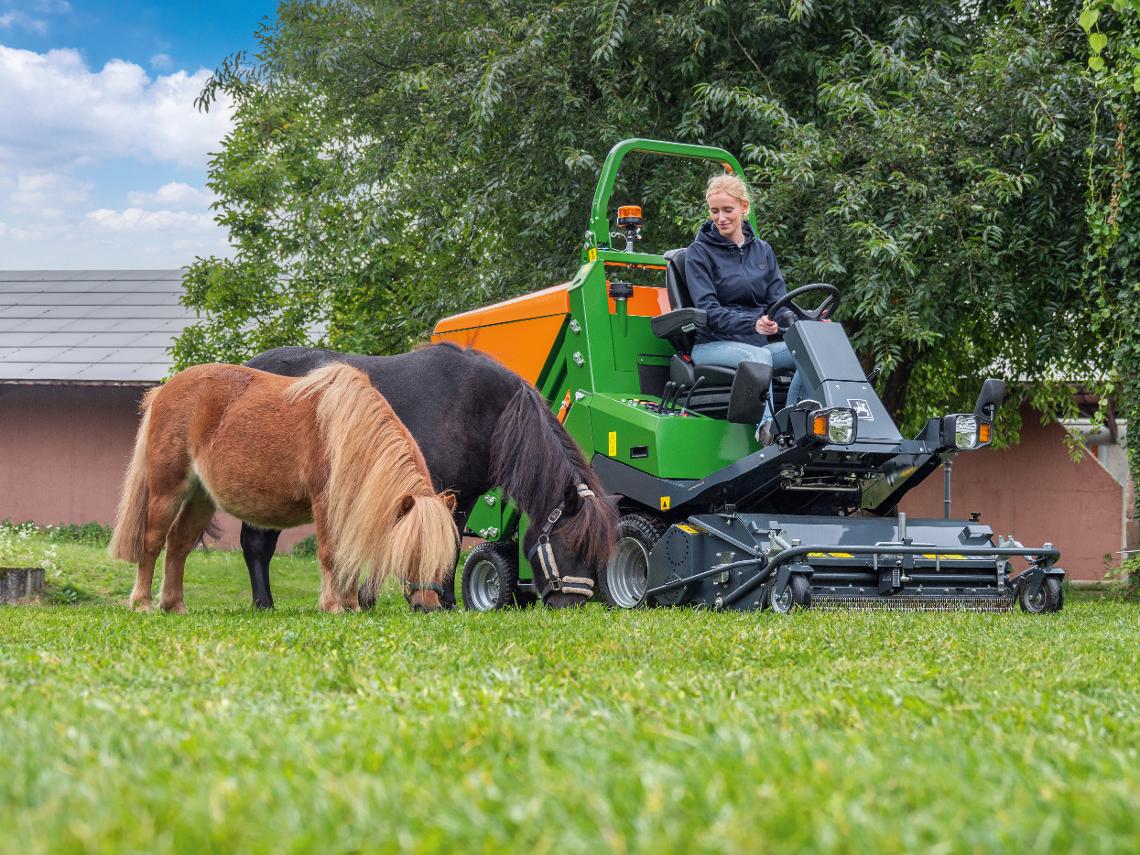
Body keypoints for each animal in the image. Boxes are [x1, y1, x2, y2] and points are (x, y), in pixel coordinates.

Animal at [109, 362, 459, 613]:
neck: (345, 432)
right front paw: (333, 606)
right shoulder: (324, 504)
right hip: (168, 491)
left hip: (201, 499)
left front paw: (351, 605)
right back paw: (143, 603)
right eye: (411, 551)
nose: (429, 607)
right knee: (153, 542)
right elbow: (330, 554)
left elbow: (348, 559)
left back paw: (175, 605)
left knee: (179, 545)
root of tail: (163, 392)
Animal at [240, 343, 618, 609]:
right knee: (256, 545)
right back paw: (264, 604)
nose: (572, 603)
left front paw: (442, 600)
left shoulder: (461, 496)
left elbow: (450, 543)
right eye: (573, 544)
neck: (486, 411)